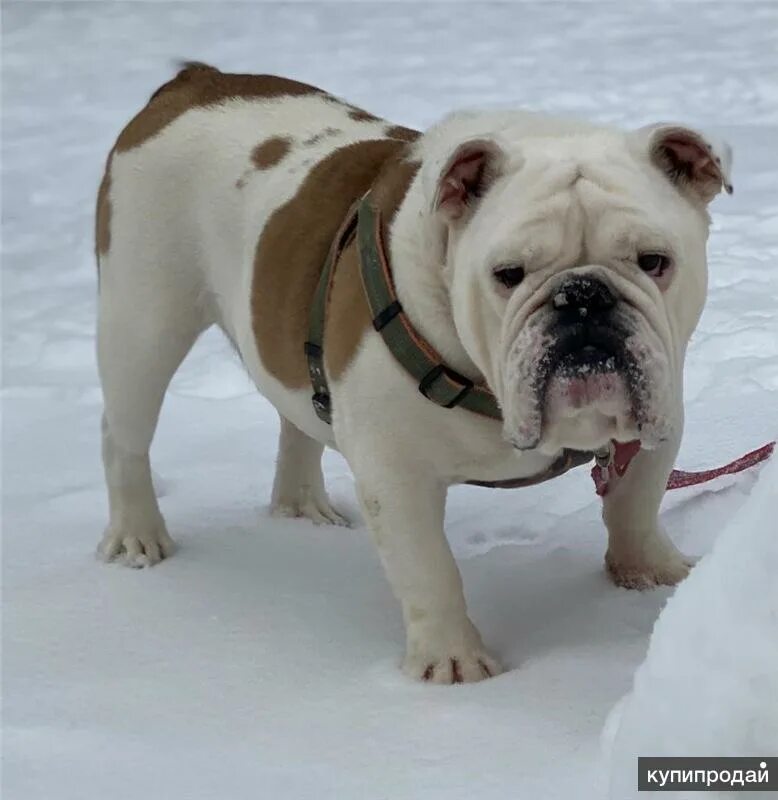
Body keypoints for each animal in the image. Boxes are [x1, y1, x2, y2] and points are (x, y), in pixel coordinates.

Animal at [95, 65, 728, 684]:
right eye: (507, 273)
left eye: (654, 262)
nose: (583, 298)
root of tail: (194, 81)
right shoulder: (395, 472)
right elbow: (428, 567)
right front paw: (453, 661)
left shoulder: (662, 410)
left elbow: (635, 502)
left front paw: (651, 575)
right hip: (143, 322)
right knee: (125, 436)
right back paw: (137, 537)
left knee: (296, 417)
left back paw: (303, 510)